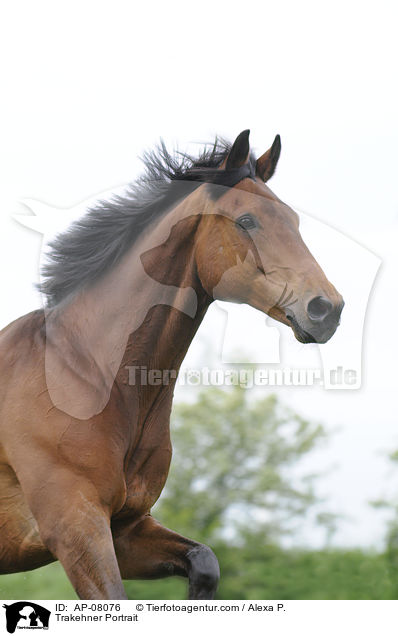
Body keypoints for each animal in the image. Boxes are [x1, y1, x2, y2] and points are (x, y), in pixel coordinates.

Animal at [0, 130, 344, 600]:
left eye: (292, 220)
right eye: (247, 221)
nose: (327, 309)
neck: (87, 378)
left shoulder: (125, 530)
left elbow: (205, 562)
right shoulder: (74, 528)